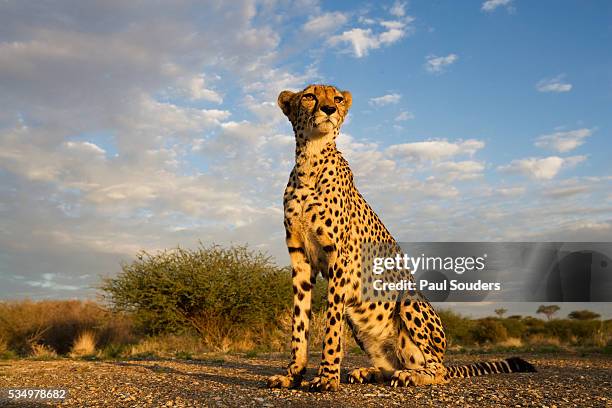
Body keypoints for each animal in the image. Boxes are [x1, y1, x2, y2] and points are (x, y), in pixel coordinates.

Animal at [268, 83, 536, 392]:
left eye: (336, 98)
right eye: (309, 97)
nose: (329, 109)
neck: (310, 162)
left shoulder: (339, 261)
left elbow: (331, 328)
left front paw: (326, 378)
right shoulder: (300, 259)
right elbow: (299, 325)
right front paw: (293, 375)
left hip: (409, 300)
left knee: (437, 370)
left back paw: (413, 376)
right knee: (393, 364)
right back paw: (370, 372)